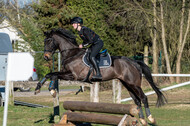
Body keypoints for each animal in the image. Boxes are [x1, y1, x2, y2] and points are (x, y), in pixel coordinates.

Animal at [34, 28, 166, 125]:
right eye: (44, 41)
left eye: (49, 41)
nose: (46, 57)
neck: (72, 53)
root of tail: (134, 62)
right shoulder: (65, 73)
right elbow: (51, 75)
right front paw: (45, 89)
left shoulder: (73, 76)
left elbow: (52, 74)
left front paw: (45, 90)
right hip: (127, 84)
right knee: (137, 100)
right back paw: (142, 120)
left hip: (134, 84)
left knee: (143, 98)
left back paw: (150, 118)